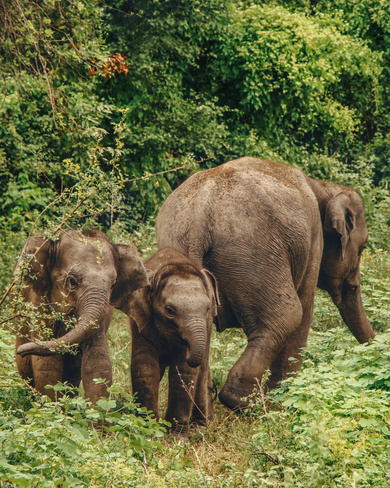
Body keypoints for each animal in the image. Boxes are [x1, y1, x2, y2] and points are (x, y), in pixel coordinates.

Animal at [14, 231, 148, 402]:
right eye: (71, 280)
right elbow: (47, 364)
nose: (21, 350)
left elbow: (97, 364)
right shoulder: (39, 303)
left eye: (113, 285)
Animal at [127, 248, 221, 438]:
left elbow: (183, 372)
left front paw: (177, 437)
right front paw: (148, 430)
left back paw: (201, 426)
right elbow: (145, 367)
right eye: (169, 311)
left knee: (202, 372)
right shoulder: (141, 322)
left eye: (208, 308)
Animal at [157, 158, 376, 410]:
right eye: (362, 249)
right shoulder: (313, 243)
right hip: (251, 253)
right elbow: (304, 310)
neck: (323, 187)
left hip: (180, 247)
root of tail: (199, 216)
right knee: (288, 315)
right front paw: (286, 401)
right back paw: (244, 403)